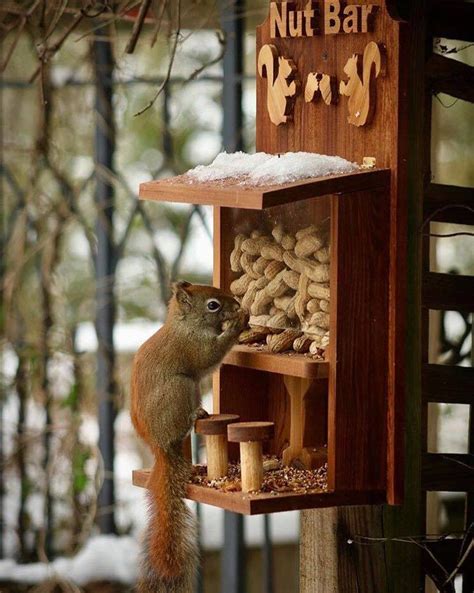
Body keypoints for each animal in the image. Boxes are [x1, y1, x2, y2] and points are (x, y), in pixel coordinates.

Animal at [131, 280, 246, 588]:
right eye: (213, 305)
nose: (237, 304)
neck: (185, 325)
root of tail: (158, 446)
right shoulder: (193, 347)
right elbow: (209, 356)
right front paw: (239, 324)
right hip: (180, 388)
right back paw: (196, 416)